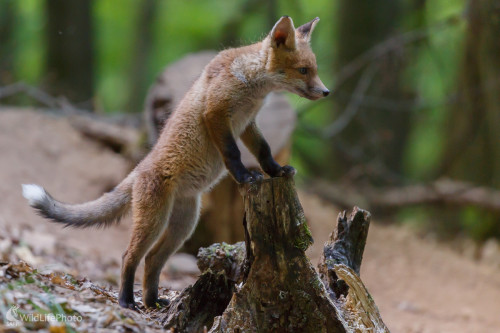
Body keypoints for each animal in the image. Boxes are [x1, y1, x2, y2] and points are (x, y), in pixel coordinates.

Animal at [22, 14, 328, 306]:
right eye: (303, 70)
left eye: (315, 69)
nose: (326, 92)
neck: (252, 84)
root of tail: (138, 170)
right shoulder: (216, 114)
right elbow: (233, 154)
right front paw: (244, 177)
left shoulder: (247, 123)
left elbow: (264, 150)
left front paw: (276, 171)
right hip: (154, 221)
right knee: (129, 256)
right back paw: (126, 301)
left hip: (184, 225)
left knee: (153, 259)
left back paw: (153, 302)